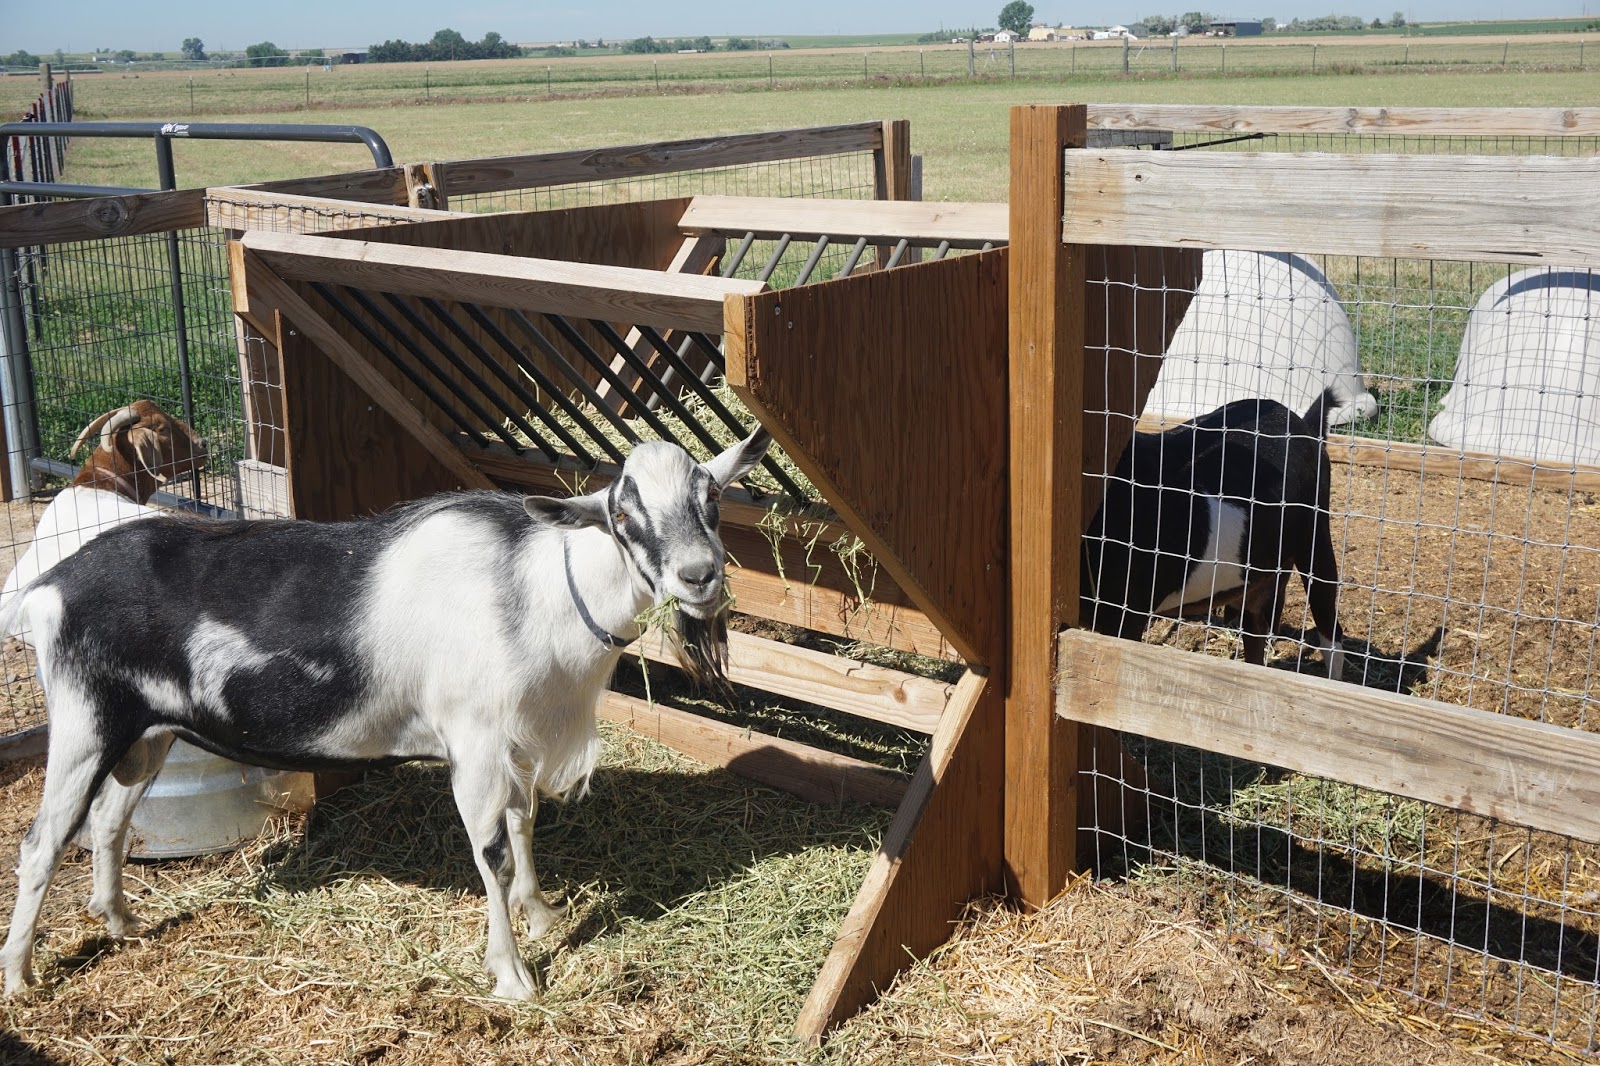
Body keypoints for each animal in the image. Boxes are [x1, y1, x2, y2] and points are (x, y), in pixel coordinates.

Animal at [0, 428, 772, 1001]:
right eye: (623, 514)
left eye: (711, 497)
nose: (700, 576)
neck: (534, 590)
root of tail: (52, 584)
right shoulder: (474, 742)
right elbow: (491, 853)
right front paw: (513, 977)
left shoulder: (515, 742)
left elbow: (525, 823)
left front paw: (543, 915)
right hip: (84, 723)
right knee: (42, 842)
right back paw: (22, 978)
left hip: (148, 731)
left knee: (109, 820)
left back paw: (122, 923)